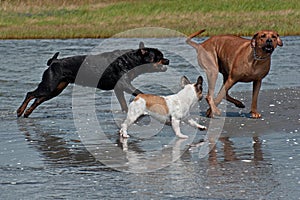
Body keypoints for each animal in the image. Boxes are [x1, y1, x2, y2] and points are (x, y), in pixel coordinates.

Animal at [17, 42, 169, 117]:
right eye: (158, 57)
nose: (167, 60)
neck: (132, 60)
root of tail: (54, 62)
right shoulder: (125, 84)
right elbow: (140, 92)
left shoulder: (119, 88)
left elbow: (123, 104)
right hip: (49, 85)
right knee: (30, 94)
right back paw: (20, 111)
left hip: (56, 89)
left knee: (38, 100)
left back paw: (27, 113)